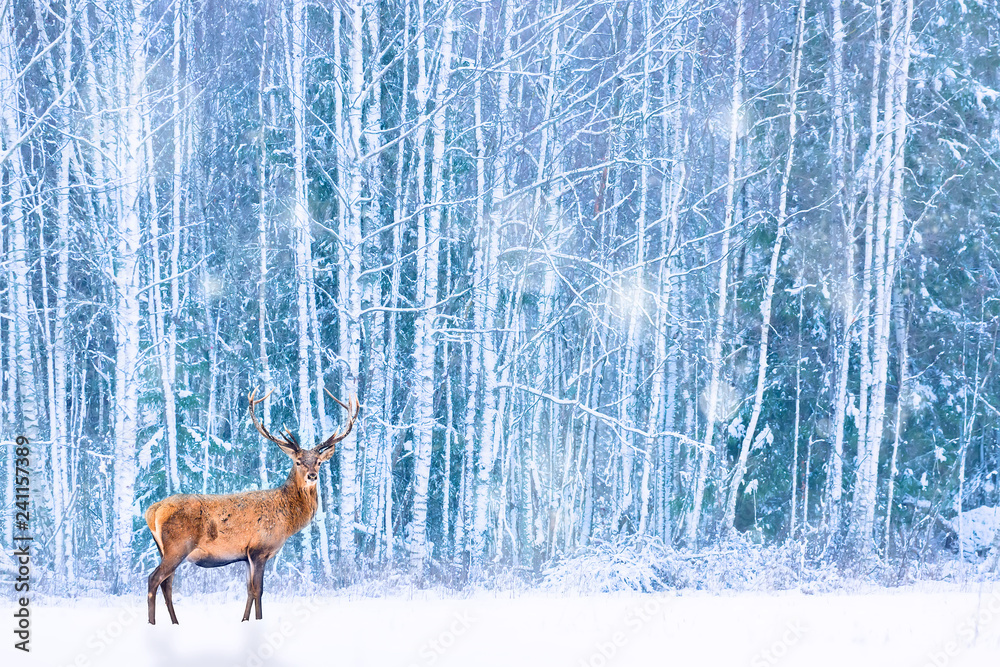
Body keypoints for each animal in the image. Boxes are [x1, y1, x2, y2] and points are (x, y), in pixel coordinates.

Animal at [145, 387, 359, 624]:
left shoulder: (246, 555)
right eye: (298, 461)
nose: (312, 475)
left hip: (164, 548)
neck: (288, 522)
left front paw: (244, 621)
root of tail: (152, 511)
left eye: (319, 462)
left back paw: (175, 622)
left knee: (167, 584)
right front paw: (259, 621)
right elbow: (259, 590)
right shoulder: (260, 549)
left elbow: (248, 590)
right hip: (178, 545)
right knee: (154, 579)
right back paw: (152, 623)